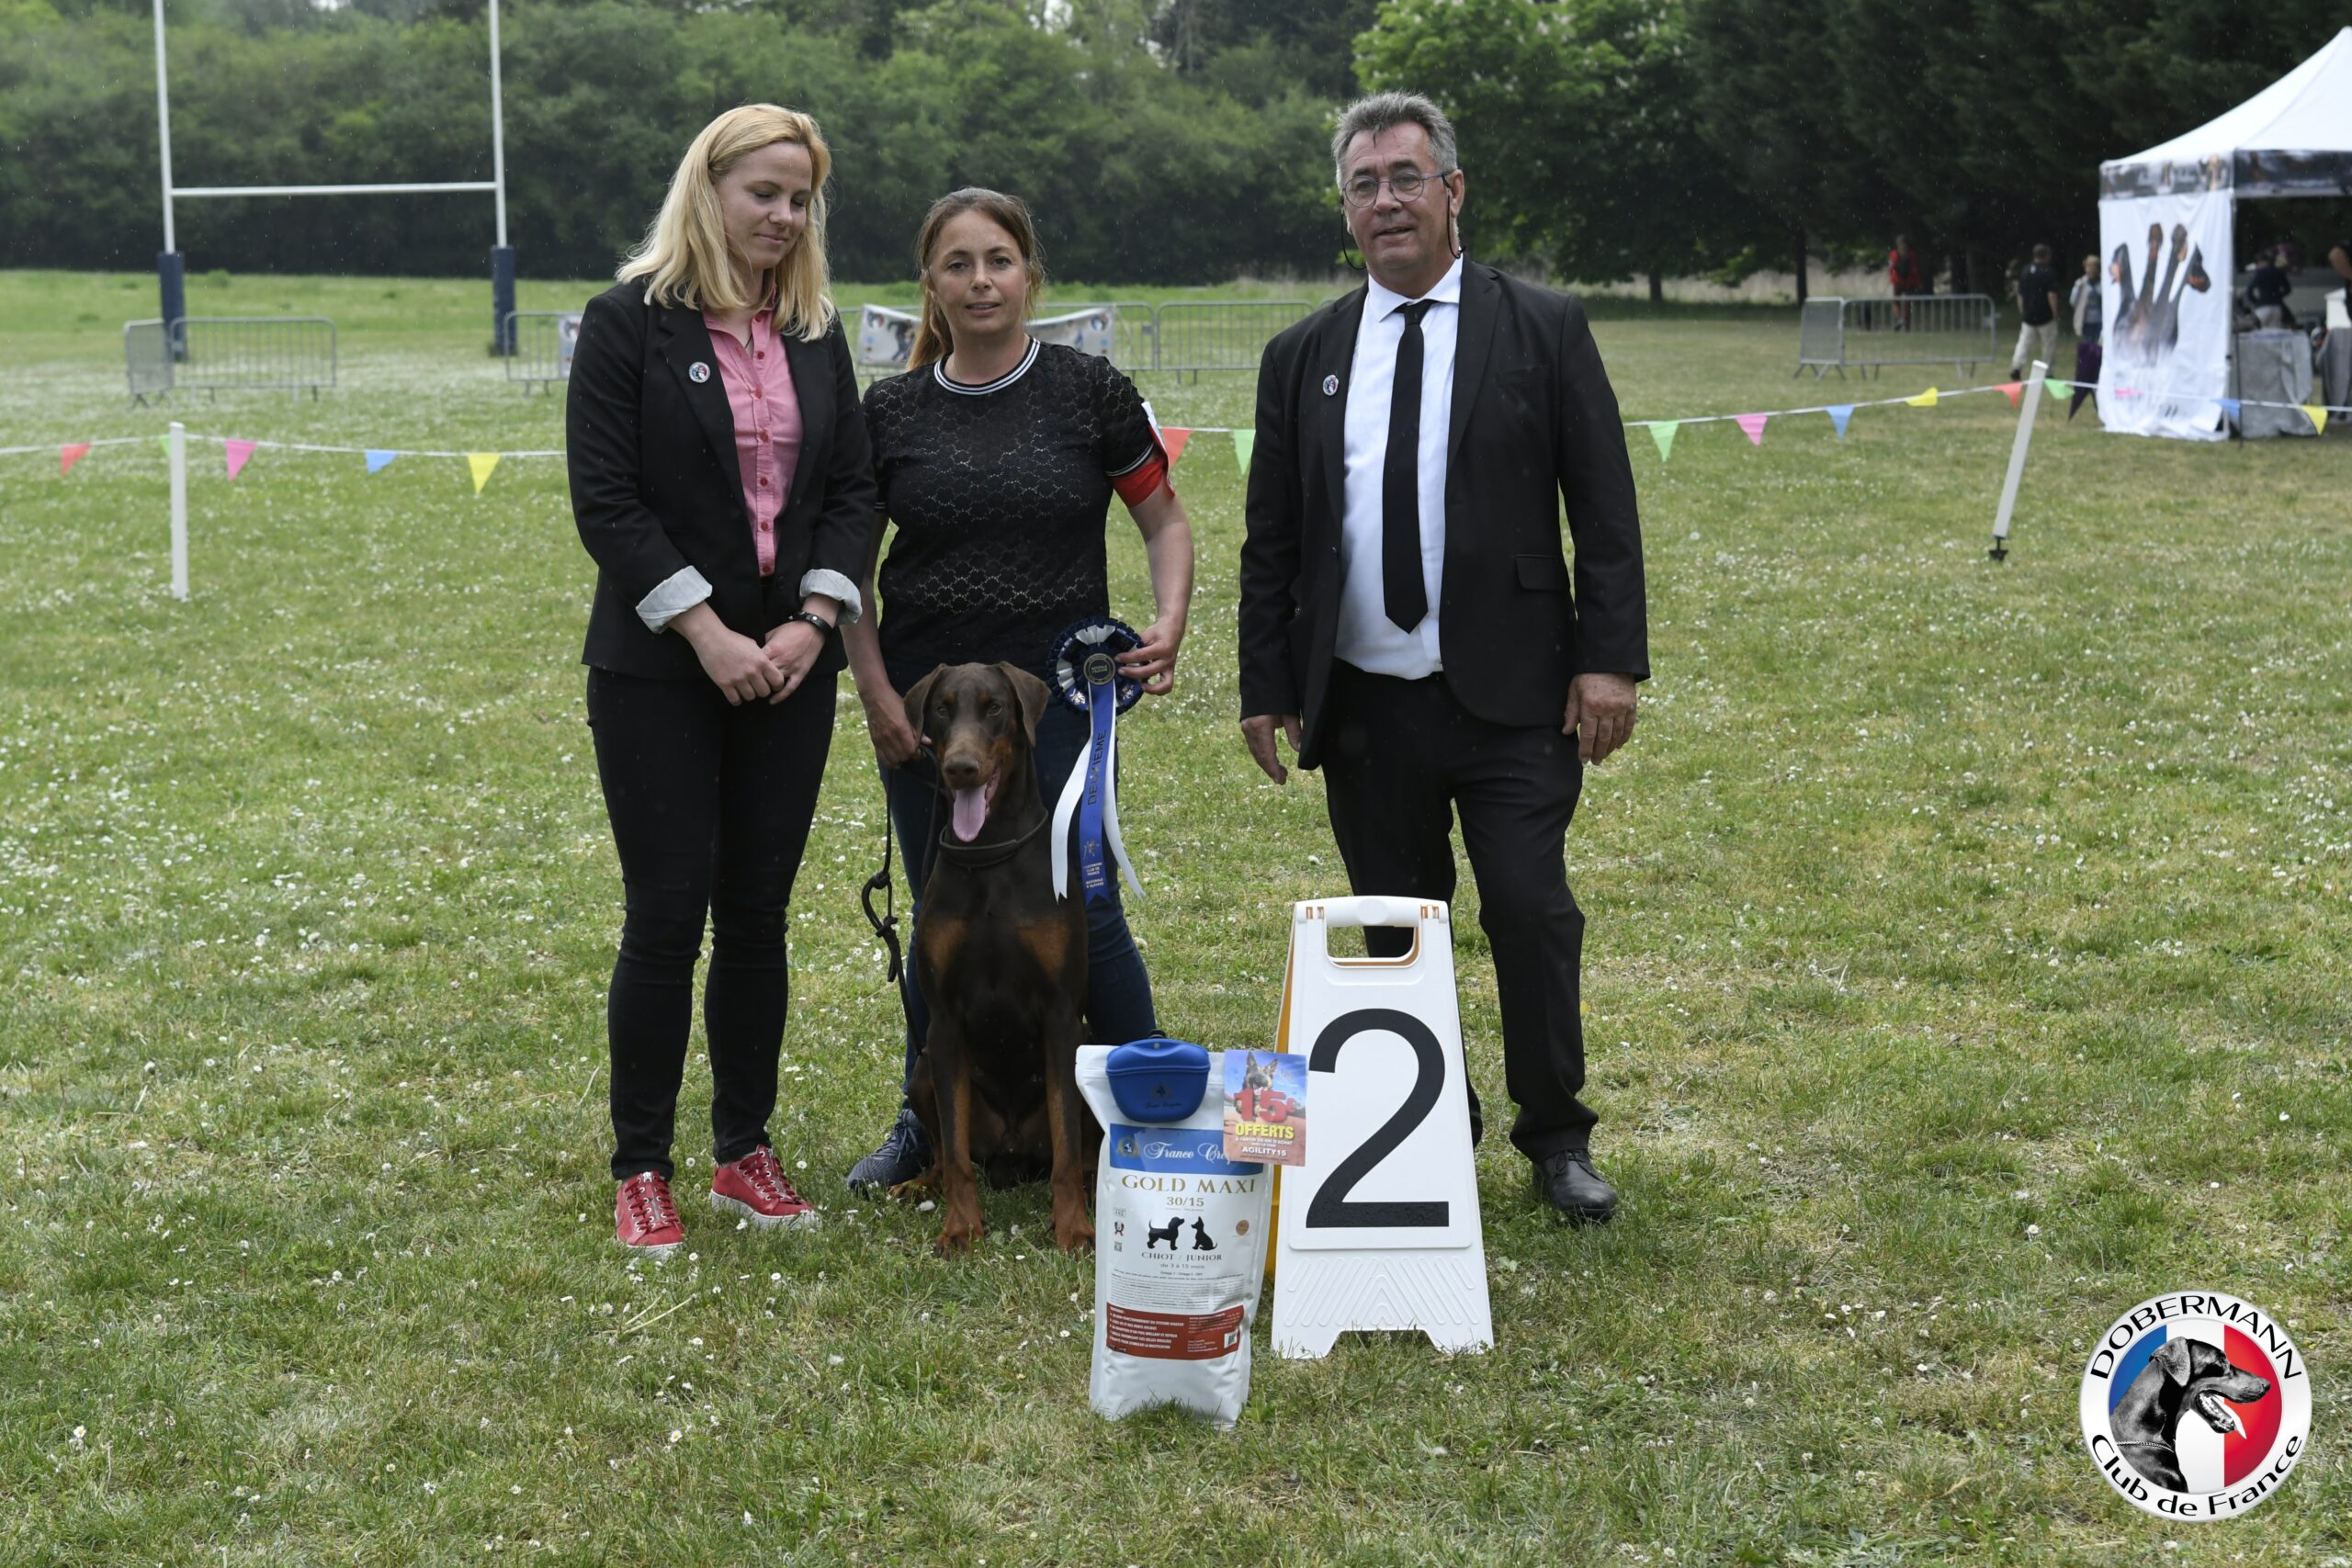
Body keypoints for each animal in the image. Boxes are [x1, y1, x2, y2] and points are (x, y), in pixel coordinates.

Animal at [896, 662, 1095, 1257]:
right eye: (942, 709)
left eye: (994, 708)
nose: (960, 769)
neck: (989, 857)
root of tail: (1011, 1152)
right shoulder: (944, 1022)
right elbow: (957, 1153)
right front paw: (961, 1229)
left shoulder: (1061, 1017)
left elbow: (1068, 1147)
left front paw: (1074, 1228)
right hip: (923, 1074)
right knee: (945, 1154)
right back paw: (918, 1183)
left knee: (1081, 1149)